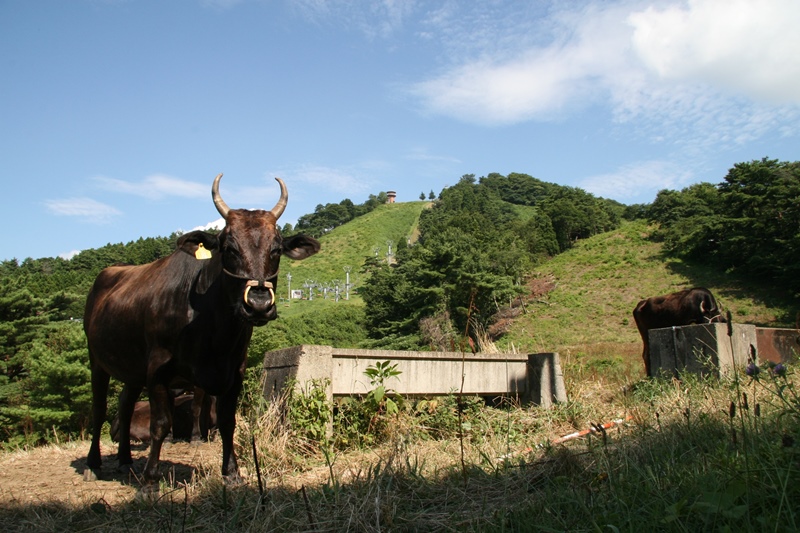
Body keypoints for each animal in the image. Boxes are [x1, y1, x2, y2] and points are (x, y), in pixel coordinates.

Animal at [82, 175, 318, 490]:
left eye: (276, 249)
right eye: (228, 248)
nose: (258, 304)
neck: (215, 333)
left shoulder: (234, 370)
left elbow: (228, 421)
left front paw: (232, 472)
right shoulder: (158, 369)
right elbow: (160, 424)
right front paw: (150, 480)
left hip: (132, 369)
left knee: (125, 403)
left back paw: (124, 459)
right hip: (97, 359)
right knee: (98, 410)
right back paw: (93, 463)